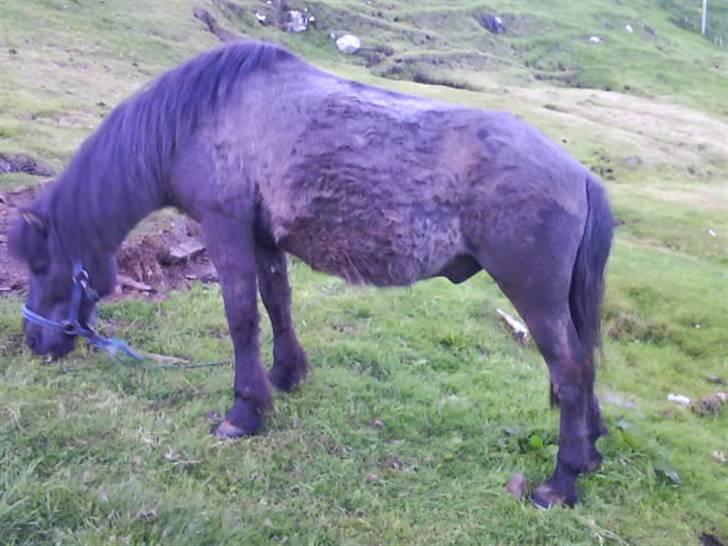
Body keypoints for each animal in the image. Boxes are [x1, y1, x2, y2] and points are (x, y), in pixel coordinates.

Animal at [11, 41, 616, 506]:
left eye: (42, 265)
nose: (35, 344)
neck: (199, 117)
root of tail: (580, 174)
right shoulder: (262, 238)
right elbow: (277, 303)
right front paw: (284, 376)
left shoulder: (225, 227)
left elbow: (241, 319)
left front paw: (243, 413)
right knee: (584, 366)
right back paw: (588, 453)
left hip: (533, 293)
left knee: (569, 371)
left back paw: (560, 483)